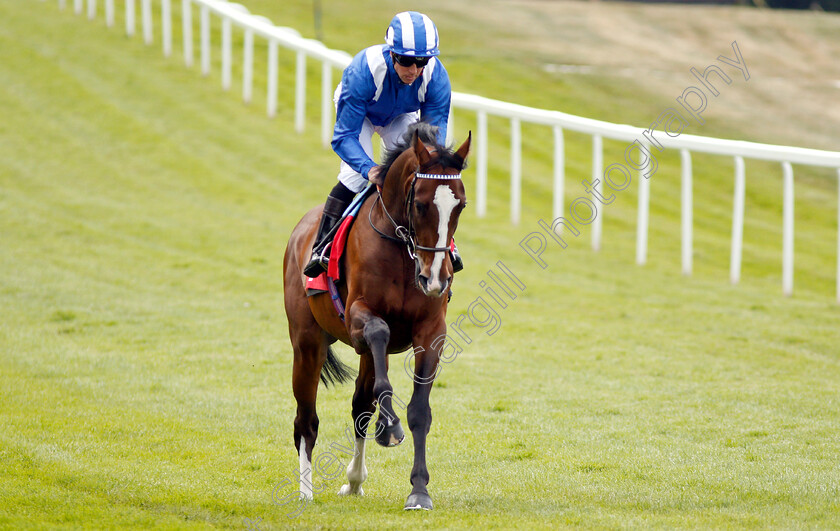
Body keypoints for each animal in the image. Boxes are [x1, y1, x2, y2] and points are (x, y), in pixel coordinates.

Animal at [280, 123, 466, 512]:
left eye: (461, 205)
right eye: (421, 204)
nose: (436, 278)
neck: (403, 253)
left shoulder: (432, 332)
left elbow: (418, 411)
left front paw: (419, 491)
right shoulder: (358, 318)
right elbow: (380, 332)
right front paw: (389, 425)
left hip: (362, 353)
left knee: (360, 407)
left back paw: (354, 481)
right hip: (307, 342)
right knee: (306, 419)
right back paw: (305, 491)